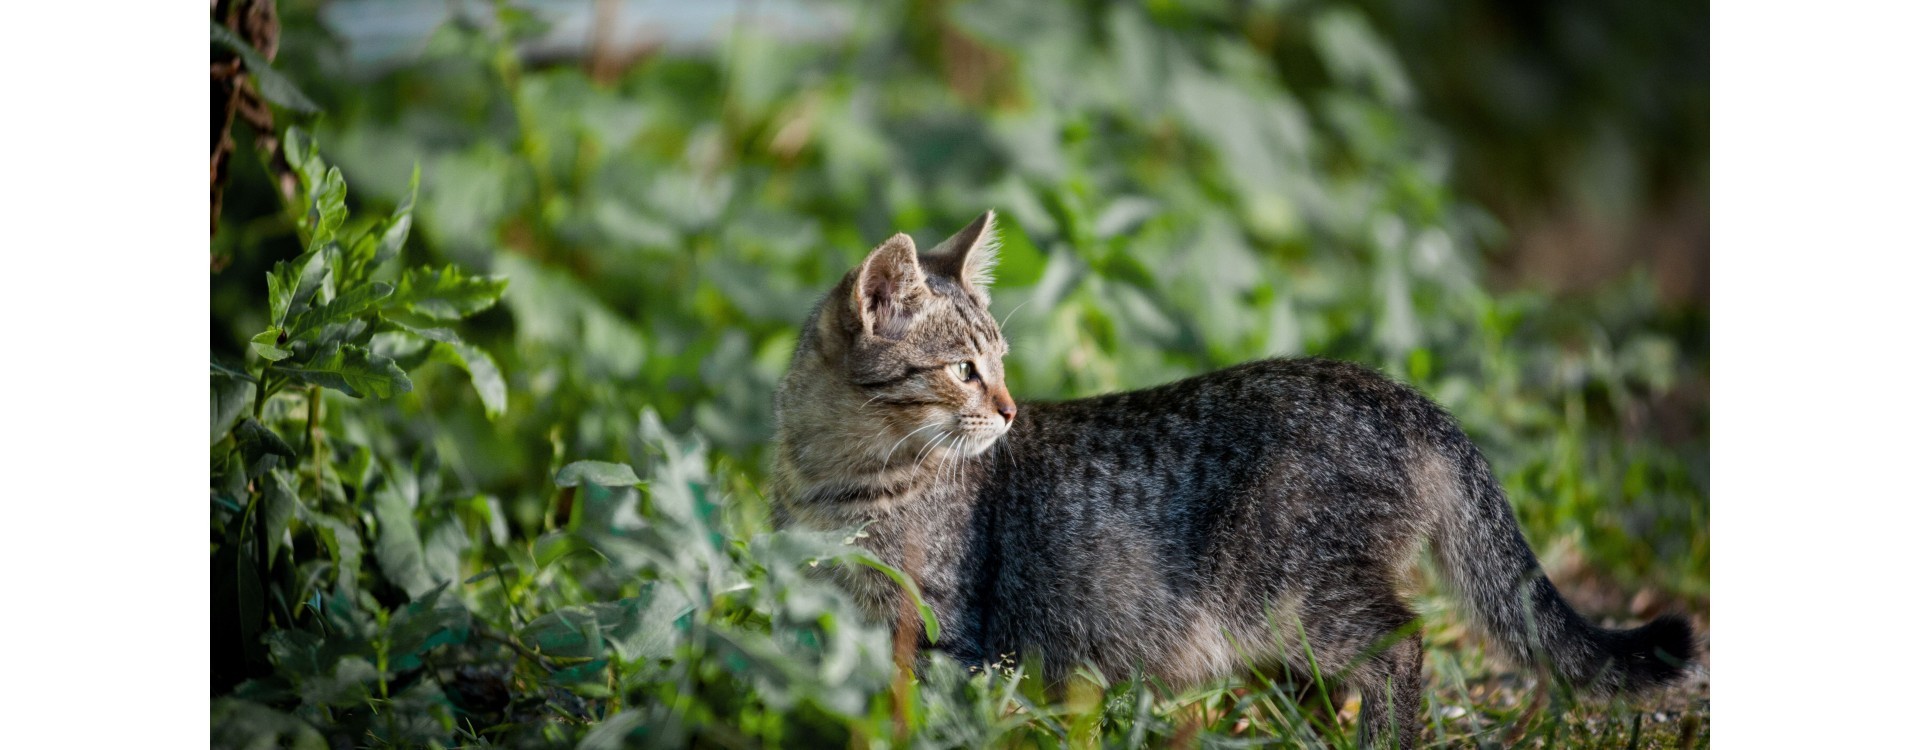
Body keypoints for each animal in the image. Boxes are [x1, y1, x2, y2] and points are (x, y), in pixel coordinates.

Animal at [764, 210, 1697, 744]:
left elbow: (918, 711)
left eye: (998, 364)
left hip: (1296, 586)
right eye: (965, 369)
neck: (836, 479)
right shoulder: (833, 619)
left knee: (1405, 644)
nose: (1009, 408)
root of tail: (1401, 393)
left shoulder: (941, 630)